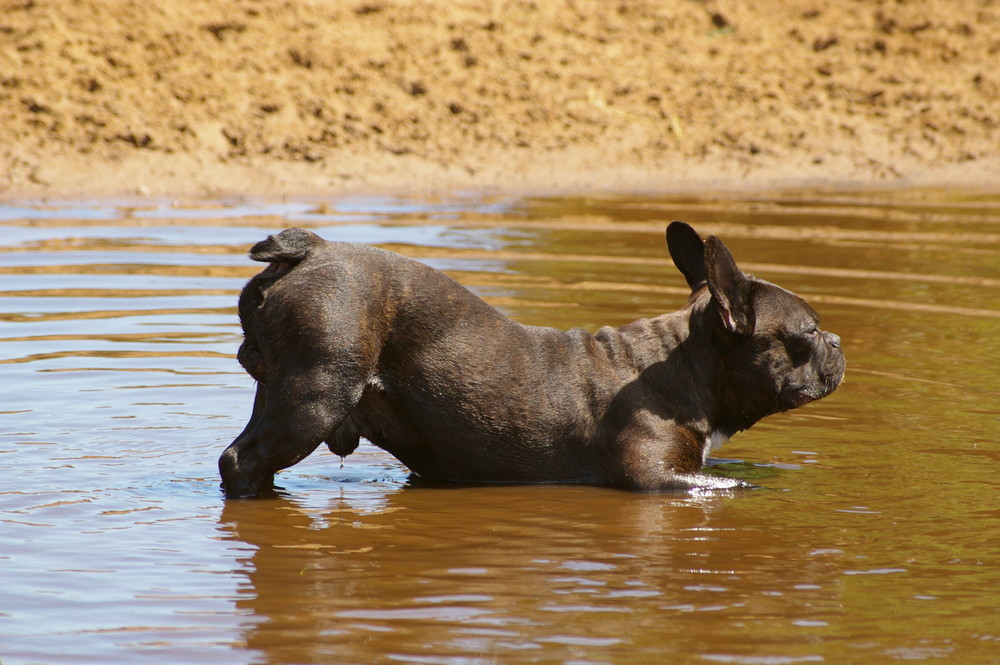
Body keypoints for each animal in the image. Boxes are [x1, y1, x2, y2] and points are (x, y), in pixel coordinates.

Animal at [219, 223, 844, 498]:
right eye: (809, 331)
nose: (837, 341)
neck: (686, 364)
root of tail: (311, 250)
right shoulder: (655, 477)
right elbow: (730, 484)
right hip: (314, 395)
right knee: (241, 460)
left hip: (281, 391)